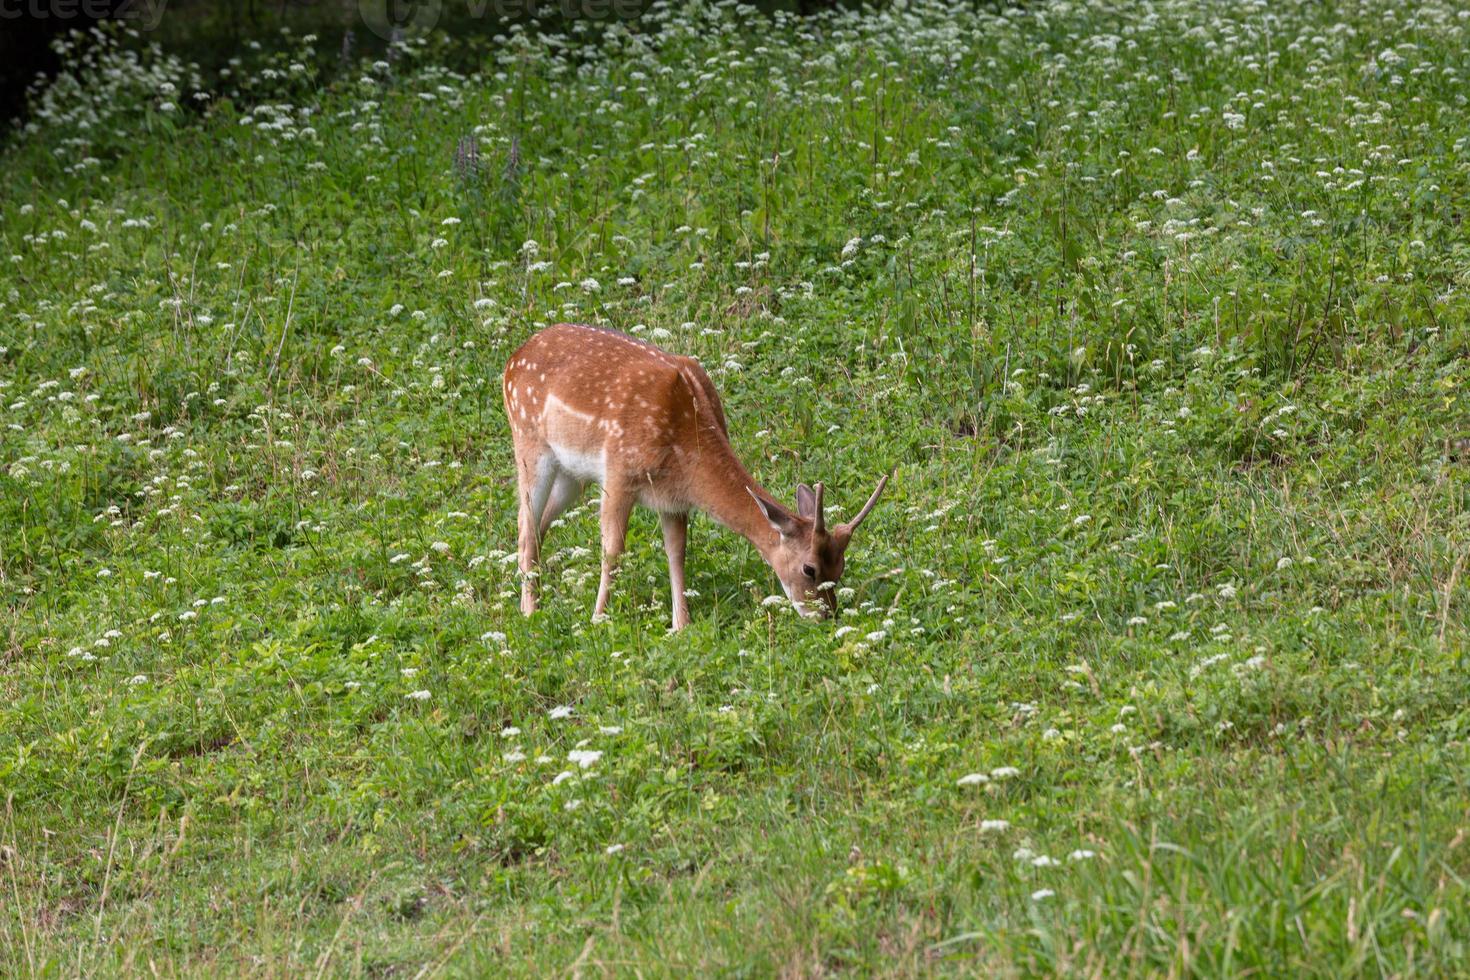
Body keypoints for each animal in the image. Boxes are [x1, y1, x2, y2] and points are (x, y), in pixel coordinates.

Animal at [499, 321, 887, 628]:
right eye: (810, 569)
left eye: (840, 567)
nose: (827, 616)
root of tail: (513, 358)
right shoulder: (620, 473)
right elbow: (613, 550)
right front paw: (599, 618)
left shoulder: (673, 498)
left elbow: (677, 550)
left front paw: (680, 624)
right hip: (528, 441)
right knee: (525, 524)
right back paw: (530, 611)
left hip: (572, 474)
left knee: (539, 523)